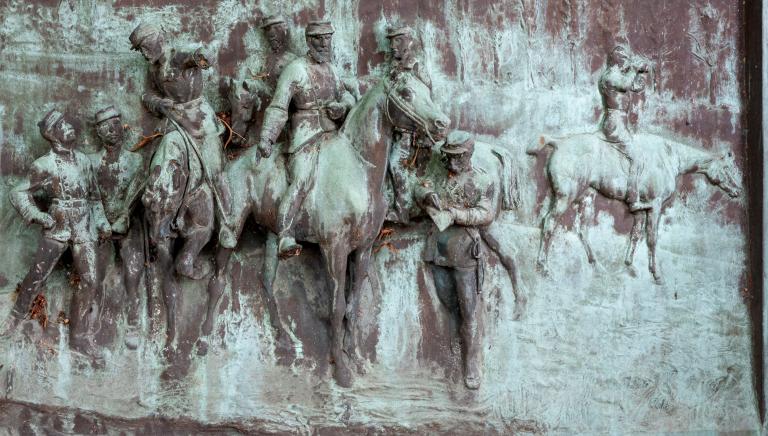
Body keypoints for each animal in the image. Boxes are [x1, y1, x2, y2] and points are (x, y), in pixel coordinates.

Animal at [200, 72, 450, 388]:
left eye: (427, 89)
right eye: (406, 92)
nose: (442, 124)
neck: (359, 168)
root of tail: (236, 162)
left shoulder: (364, 249)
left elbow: (353, 305)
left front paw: (355, 357)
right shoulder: (334, 248)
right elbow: (337, 306)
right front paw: (341, 370)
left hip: (273, 235)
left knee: (266, 281)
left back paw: (284, 339)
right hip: (232, 226)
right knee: (218, 279)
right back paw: (205, 336)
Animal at [532, 131, 740, 284]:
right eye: (727, 168)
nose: (737, 191)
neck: (669, 157)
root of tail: (558, 142)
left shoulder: (641, 210)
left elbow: (636, 234)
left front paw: (629, 264)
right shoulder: (656, 205)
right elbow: (652, 238)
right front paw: (656, 274)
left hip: (587, 197)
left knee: (582, 229)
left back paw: (596, 264)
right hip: (565, 197)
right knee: (549, 223)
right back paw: (544, 268)